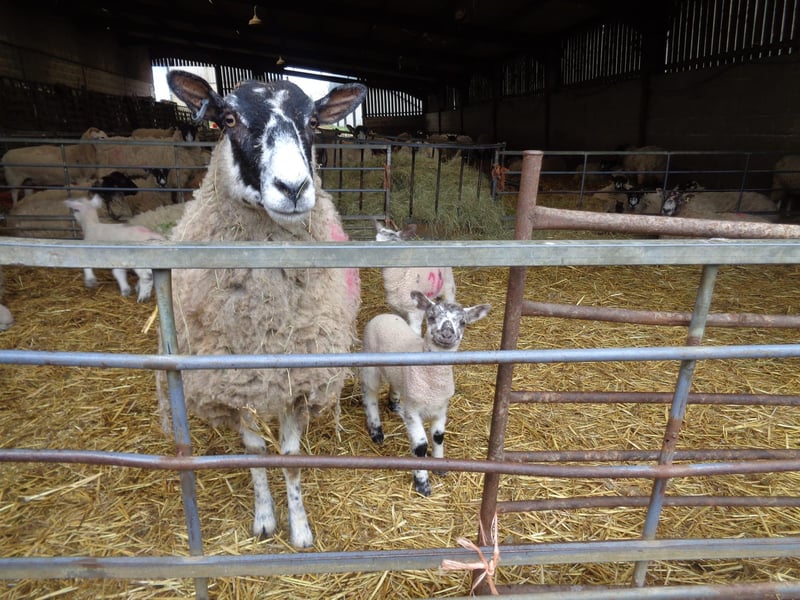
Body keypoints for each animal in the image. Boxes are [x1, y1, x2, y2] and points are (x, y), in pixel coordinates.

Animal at [161, 69, 366, 548]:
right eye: (228, 119)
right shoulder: (233, 383)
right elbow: (255, 452)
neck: (264, 318)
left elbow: (289, 457)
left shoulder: (297, 379)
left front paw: (300, 530)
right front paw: (264, 519)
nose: (293, 189)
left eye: (313, 123)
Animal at [361, 291, 490, 496]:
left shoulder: (441, 408)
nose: (447, 333)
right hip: (370, 365)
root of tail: (383, 315)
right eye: (431, 317)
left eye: (462, 322)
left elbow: (438, 437)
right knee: (369, 394)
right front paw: (422, 484)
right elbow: (421, 446)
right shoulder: (413, 412)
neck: (433, 385)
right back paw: (376, 430)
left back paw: (395, 406)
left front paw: (439, 468)